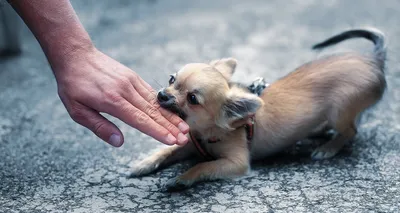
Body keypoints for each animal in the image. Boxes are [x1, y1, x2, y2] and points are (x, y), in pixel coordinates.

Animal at [128, 27, 384, 190]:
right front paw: (143, 164)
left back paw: (328, 147)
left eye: (192, 99)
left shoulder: (236, 164)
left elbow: (204, 165)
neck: (207, 132)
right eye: (171, 79)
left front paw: (183, 178)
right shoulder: (190, 145)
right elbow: (166, 151)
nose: (162, 94)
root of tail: (374, 60)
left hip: (338, 111)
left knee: (350, 130)